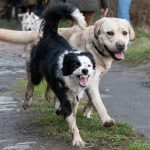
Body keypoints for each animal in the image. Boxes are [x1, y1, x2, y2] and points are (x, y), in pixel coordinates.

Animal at [22, 3, 95, 146]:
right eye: (76, 65)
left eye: (88, 66)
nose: (85, 71)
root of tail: (52, 34)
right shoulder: (66, 99)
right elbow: (73, 122)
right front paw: (77, 140)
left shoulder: (75, 99)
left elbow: (72, 117)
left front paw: (72, 133)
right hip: (36, 71)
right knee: (31, 81)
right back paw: (27, 101)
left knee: (49, 87)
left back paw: (50, 97)